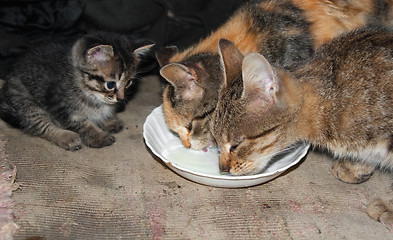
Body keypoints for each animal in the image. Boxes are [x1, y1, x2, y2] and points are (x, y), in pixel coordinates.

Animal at [0, 31, 152, 152]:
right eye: (110, 84)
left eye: (129, 82)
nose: (120, 99)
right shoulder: (60, 106)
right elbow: (83, 124)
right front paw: (98, 136)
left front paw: (109, 120)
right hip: (23, 97)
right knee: (39, 125)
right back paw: (66, 137)